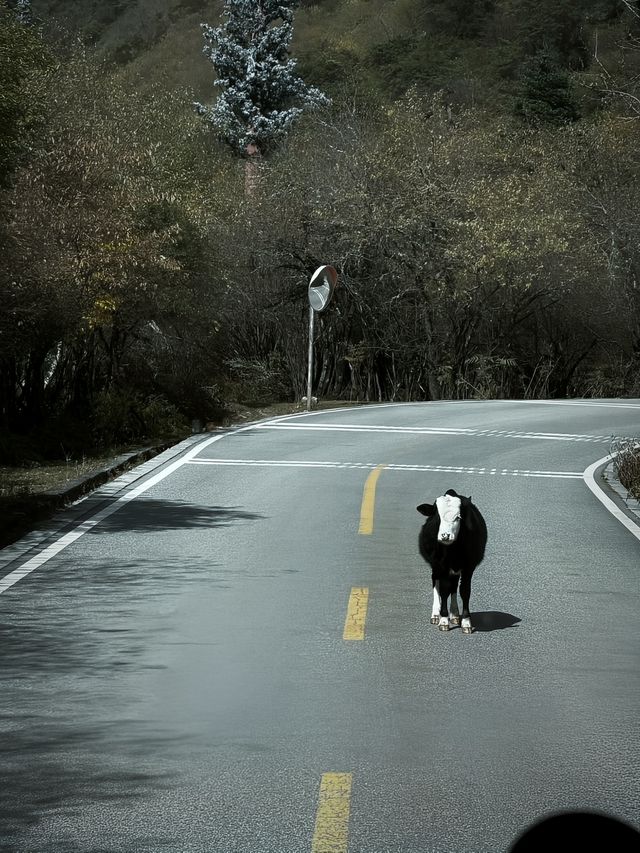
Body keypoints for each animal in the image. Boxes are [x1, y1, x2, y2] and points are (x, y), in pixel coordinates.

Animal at [418, 486, 488, 632]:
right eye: (437, 516)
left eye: (458, 517)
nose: (445, 535)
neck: (453, 551)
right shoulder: (441, 565)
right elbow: (444, 590)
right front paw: (444, 620)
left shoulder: (469, 566)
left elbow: (465, 591)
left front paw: (466, 621)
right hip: (436, 567)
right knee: (436, 582)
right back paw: (435, 615)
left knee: (454, 585)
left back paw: (455, 615)